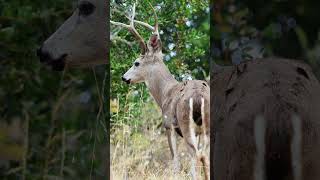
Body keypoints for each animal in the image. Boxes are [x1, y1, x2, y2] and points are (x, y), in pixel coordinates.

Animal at [111, 2, 211, 180]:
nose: (124, 77)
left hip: (185, 123)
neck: (166, 93)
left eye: (136, 63)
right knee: (204, 155)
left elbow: (175, 162)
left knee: (196, 154)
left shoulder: (168, 124)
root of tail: (199, 95)